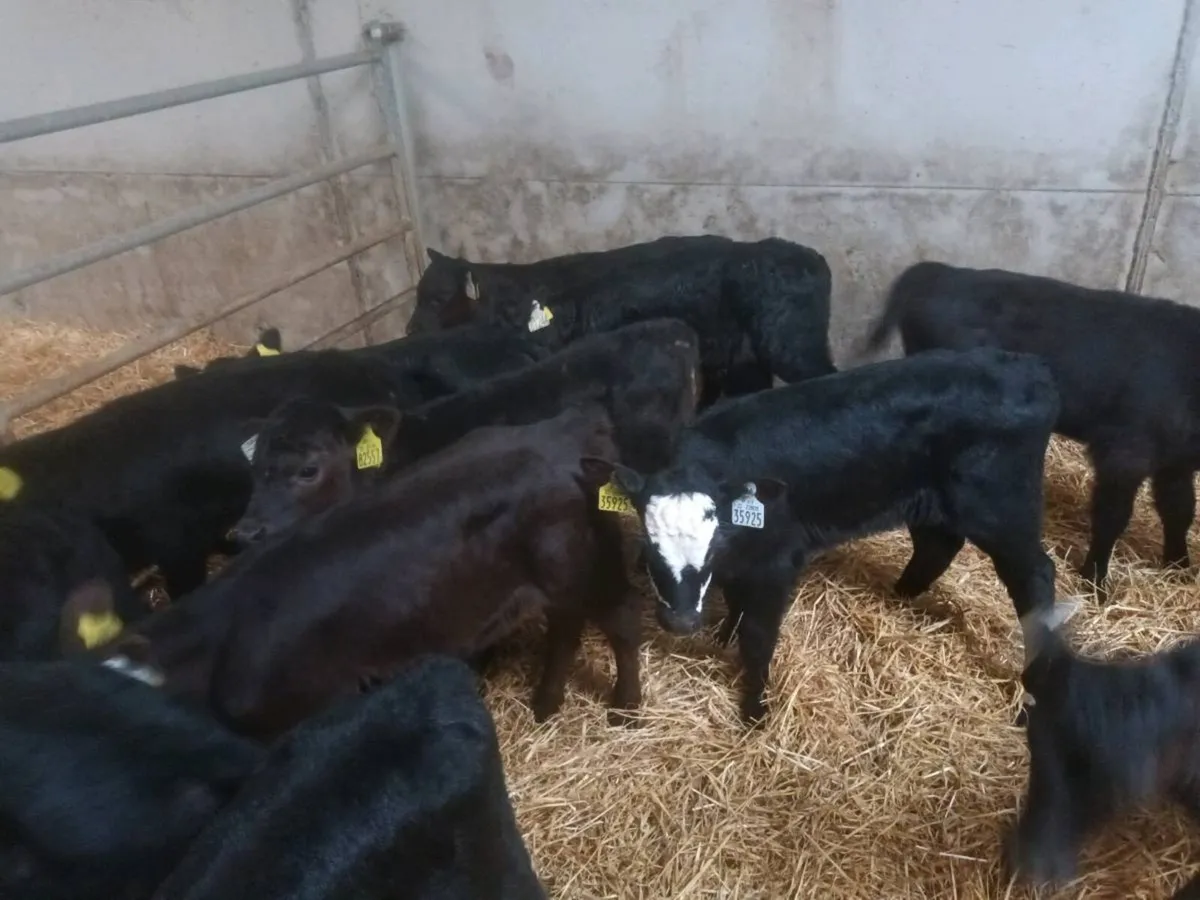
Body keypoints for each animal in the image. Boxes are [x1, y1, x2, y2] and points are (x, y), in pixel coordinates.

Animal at [72, 406, 644, 741]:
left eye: (308, 470)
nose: (245, 532)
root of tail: (567, 427)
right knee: (566, 627)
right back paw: (546, 704)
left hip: (589, 562)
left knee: (620, 623)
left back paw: (626, 709)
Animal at [585, 347, 1069, 725]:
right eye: (650, 544)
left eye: (714, 538)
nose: (682, 622)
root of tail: (1027, 367)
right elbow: (737, 605)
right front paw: (723, 635)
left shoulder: (777, 563)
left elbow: (758, 638)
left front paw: (754, 712)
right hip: (928, 500)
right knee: (937, 546)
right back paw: (900, 597)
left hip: (1003, 509)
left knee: (1035, 576)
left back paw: (1032, 692)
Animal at [863, 261, 1200, 602]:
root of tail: (940, 271)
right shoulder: (1125, 451)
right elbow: (1112, 517)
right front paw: (1095, 582)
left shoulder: (1176, 461)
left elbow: (1179, 509)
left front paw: (1179, 566)